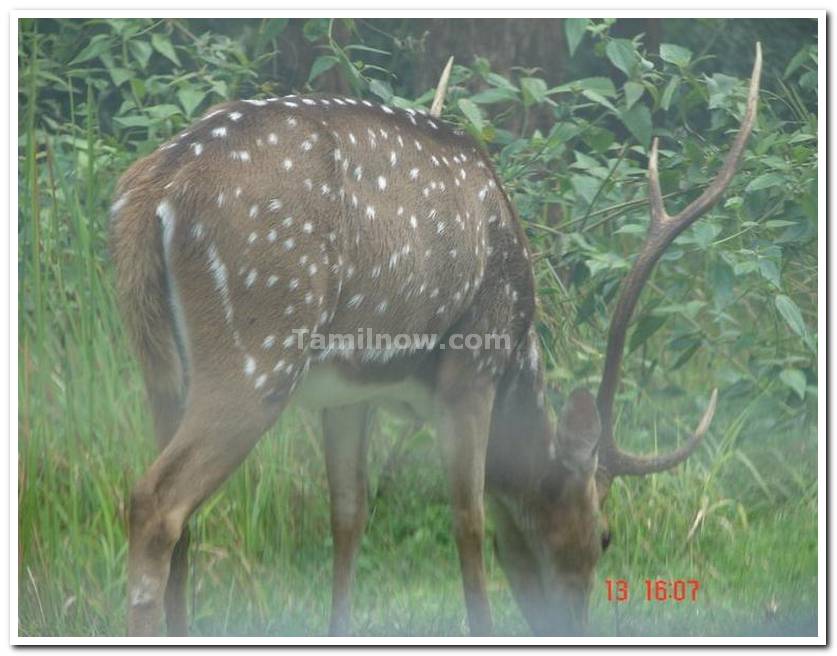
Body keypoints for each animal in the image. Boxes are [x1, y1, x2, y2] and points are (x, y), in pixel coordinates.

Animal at [112, 44, 764, 636]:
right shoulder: (472, 367)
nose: (573, 628)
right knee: (155, 502)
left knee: (182, 518)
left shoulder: (347, 393)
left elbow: (348, 515)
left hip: (161, 362)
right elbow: (468, 519)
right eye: (605, 536)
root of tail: (156, 188)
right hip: (261, 344)